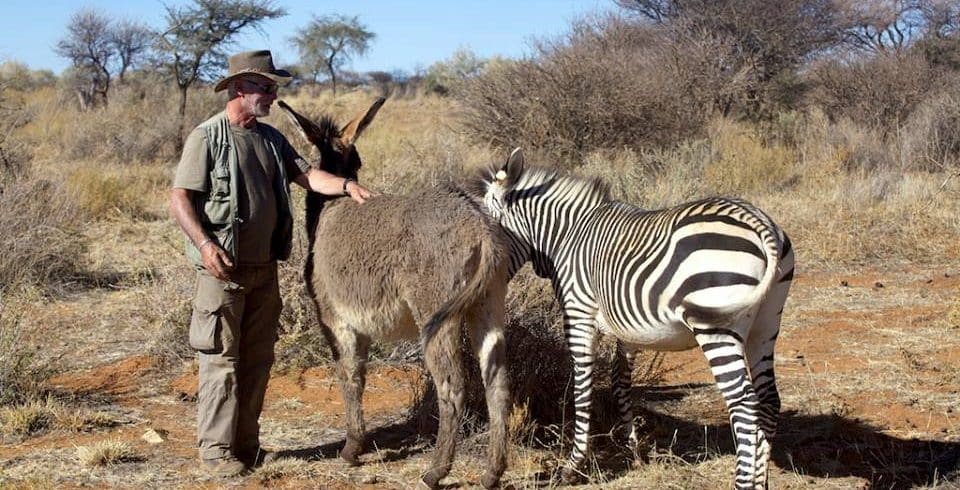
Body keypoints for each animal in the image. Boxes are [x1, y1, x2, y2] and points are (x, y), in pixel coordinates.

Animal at [478, 149, 795, 489]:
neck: (565, 236)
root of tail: (758, 220)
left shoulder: (578, 315)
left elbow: (582, 387)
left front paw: (573, 465)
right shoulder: (628, 331)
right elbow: (620, 381)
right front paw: (635, 452)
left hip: (717, 328)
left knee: (745, 406)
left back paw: (743, 481)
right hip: (765, 324)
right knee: (768, 401)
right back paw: (760, 481)